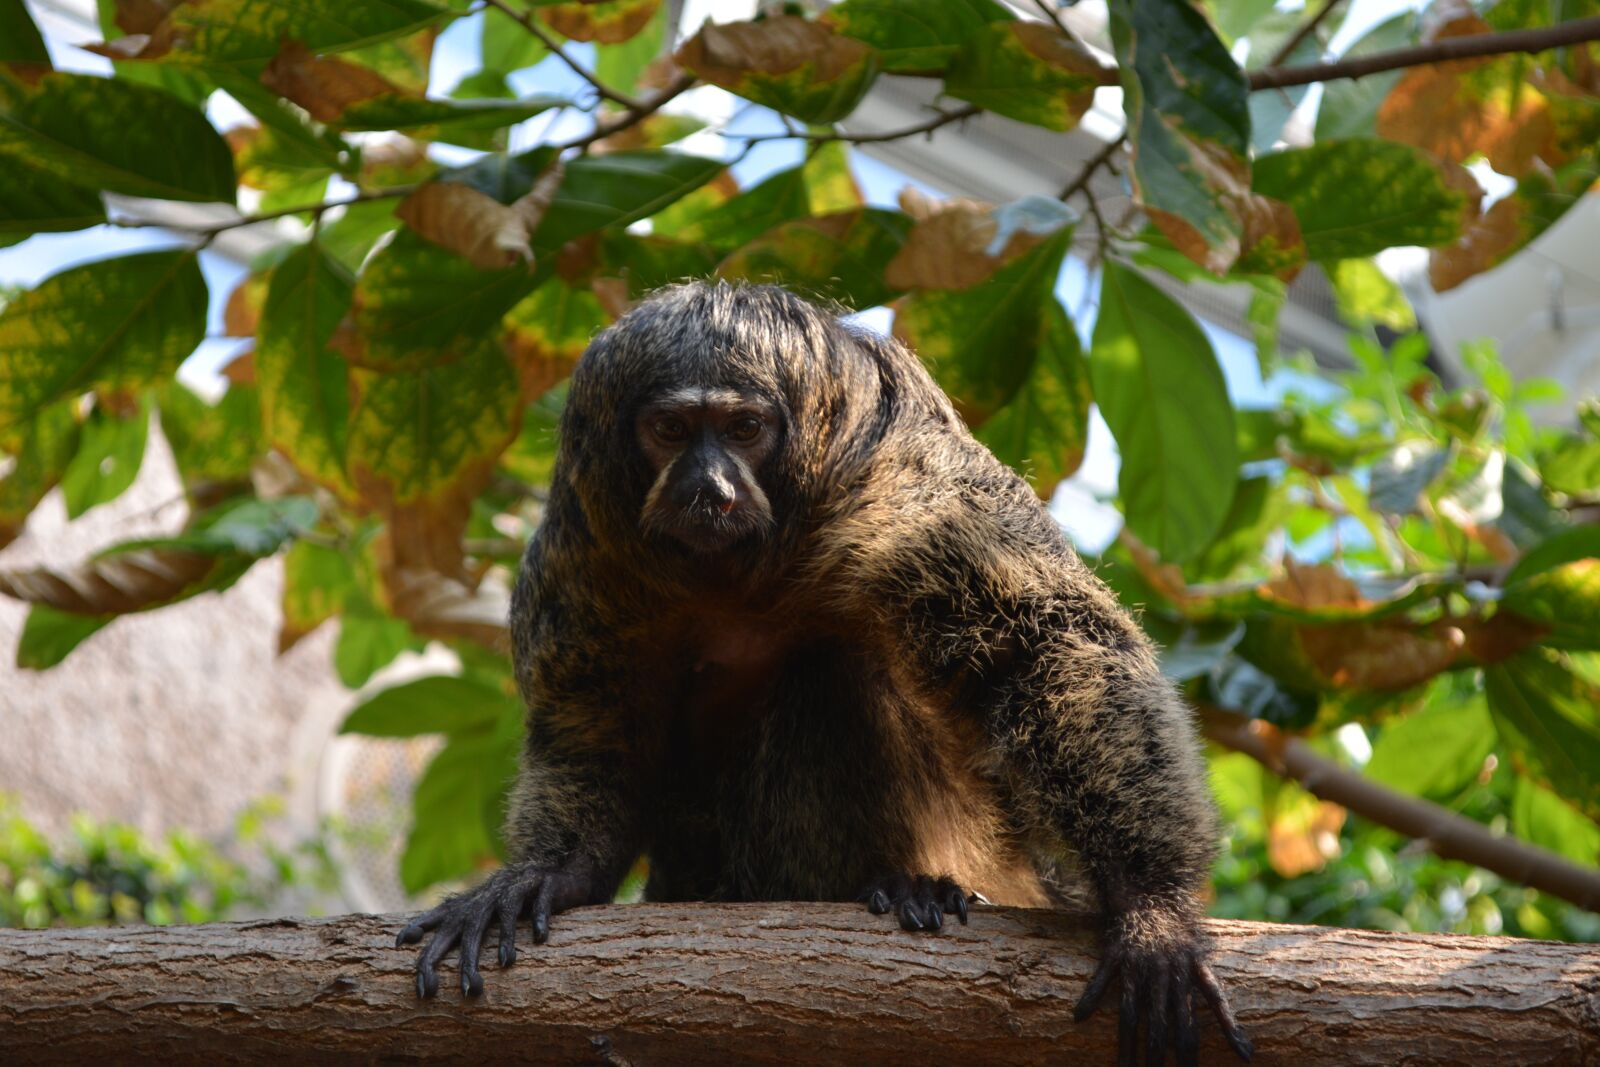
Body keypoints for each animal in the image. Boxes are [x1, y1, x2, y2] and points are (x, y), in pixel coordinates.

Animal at [396, 281, 1253, 1066]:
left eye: (743, 429)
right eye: (671, 430)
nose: (708, 486)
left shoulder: (907, 483)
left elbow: (1043, 643)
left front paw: (1150, 904)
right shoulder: (583, 545)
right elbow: (590, 726)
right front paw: (552, 872)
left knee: (833, 666)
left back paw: (910, 883)